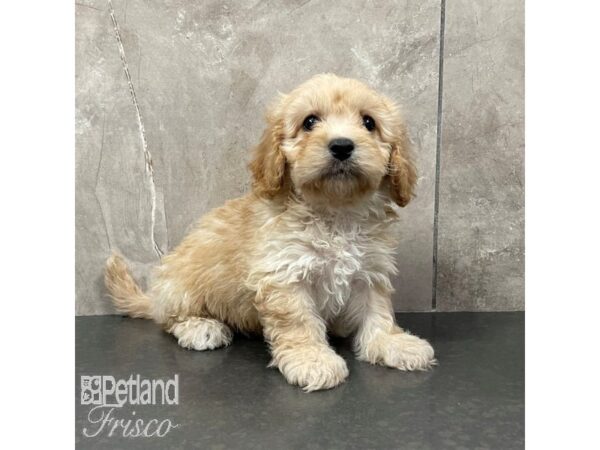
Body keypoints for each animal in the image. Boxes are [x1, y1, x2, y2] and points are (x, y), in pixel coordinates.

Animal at [106, 74, 436, 390]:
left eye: (369, 123)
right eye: (309, 122)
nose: (342, 146)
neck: (335, 210)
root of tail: (155, 296)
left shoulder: (369, 270)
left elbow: (377, 311)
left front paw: (392, 343)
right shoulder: (284, 275)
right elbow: (298, 322)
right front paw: (312, 360)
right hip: (182, 286)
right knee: (170, 318)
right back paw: (201, 327)